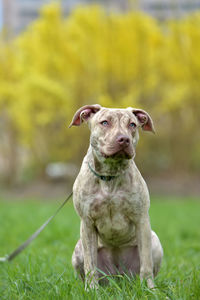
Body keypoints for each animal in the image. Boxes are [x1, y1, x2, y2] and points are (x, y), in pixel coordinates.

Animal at [69, 104, 163, 290]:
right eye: (105, 122)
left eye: (132, 124)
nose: (124, 139)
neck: (110, 175)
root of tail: (118, 276)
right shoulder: (87, 223)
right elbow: (90, 264)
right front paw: (92, 290)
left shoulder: (141, 219)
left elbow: (146, 263)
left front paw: (150, 290)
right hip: (78, 250)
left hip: (155, 241)